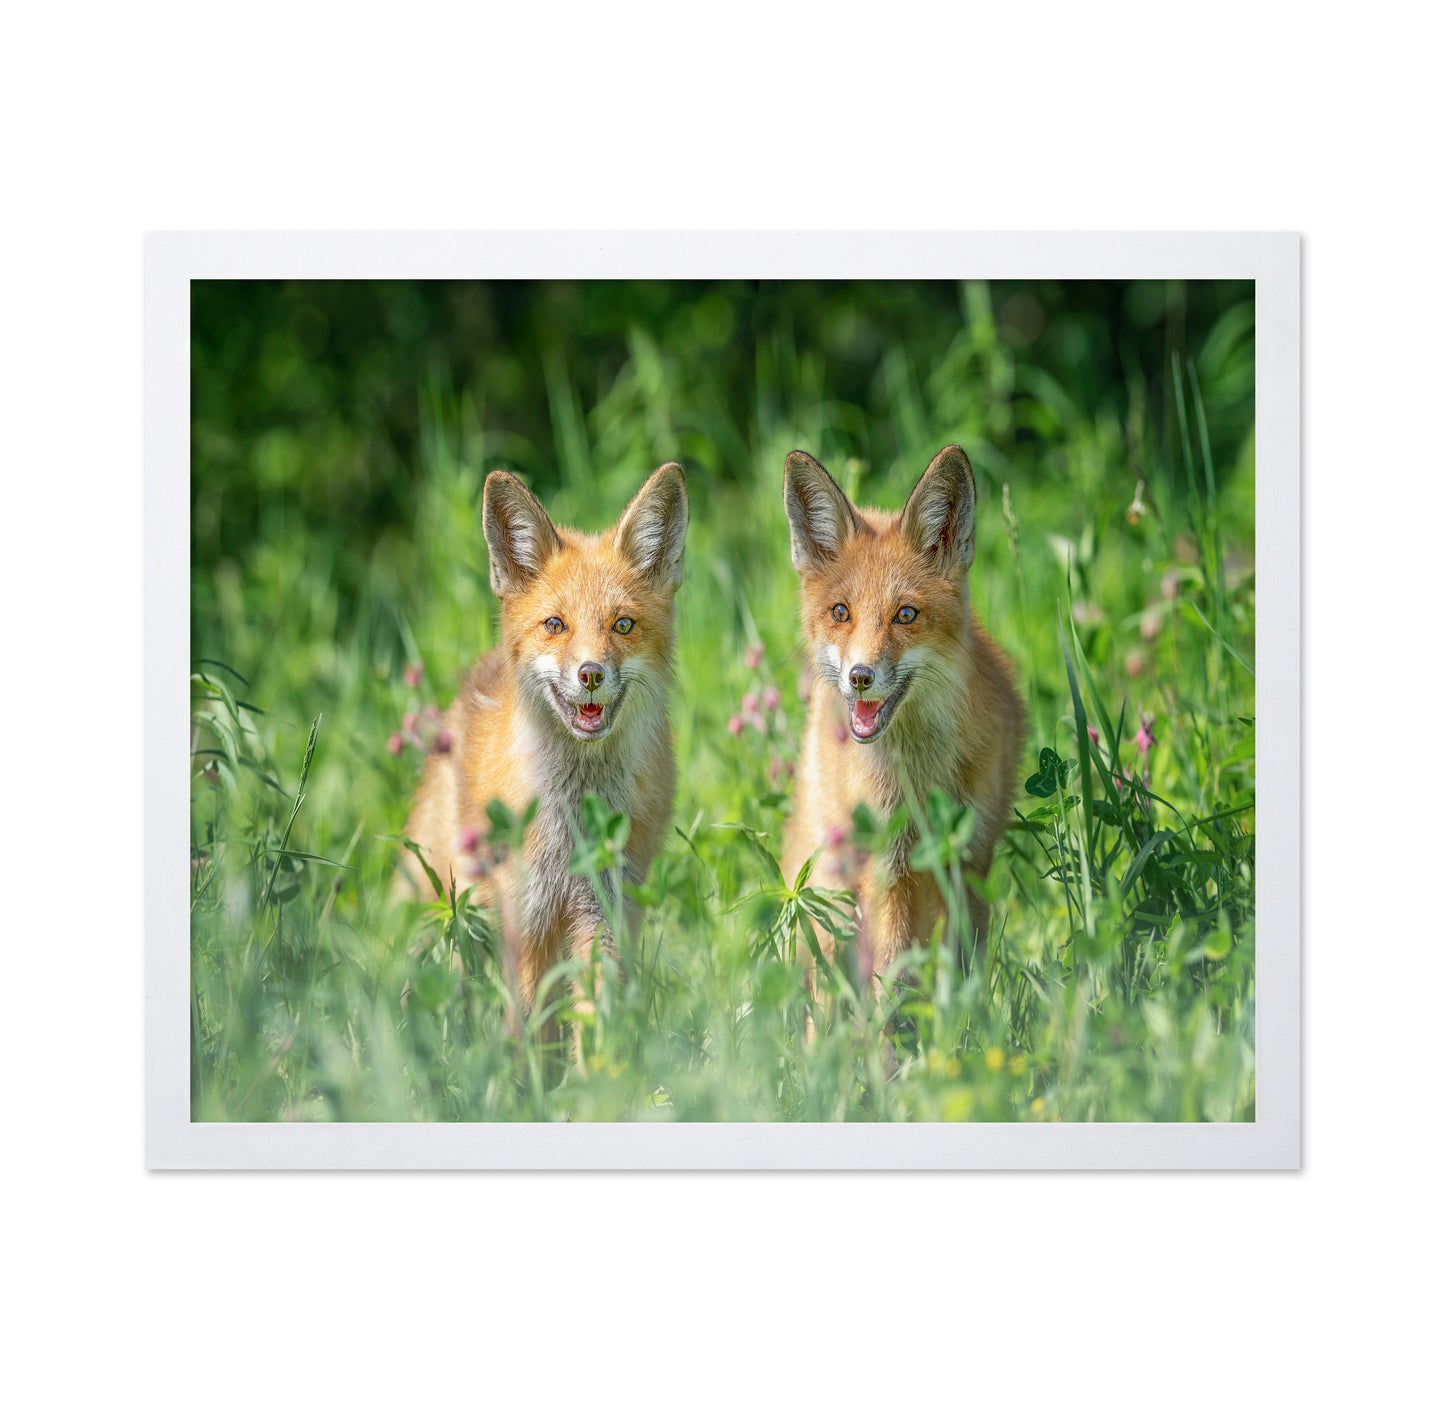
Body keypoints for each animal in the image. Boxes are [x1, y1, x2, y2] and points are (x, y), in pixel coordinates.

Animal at [400, 462, 689, 1016]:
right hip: (458, 912)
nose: (591, 674)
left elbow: (596, 1018)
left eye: (623, 624)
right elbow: (531, 1027)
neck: (573, 821)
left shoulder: (603, 912)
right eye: (556, 624)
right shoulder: (527, 923)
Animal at [781, 444, 1026, 984]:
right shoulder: (888, 870)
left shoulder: (969, 860)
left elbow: (961, 972)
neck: (921, 778)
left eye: (906, 615)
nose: (860, 676)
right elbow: (894, 980)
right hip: (833, 890)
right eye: (841, 612)